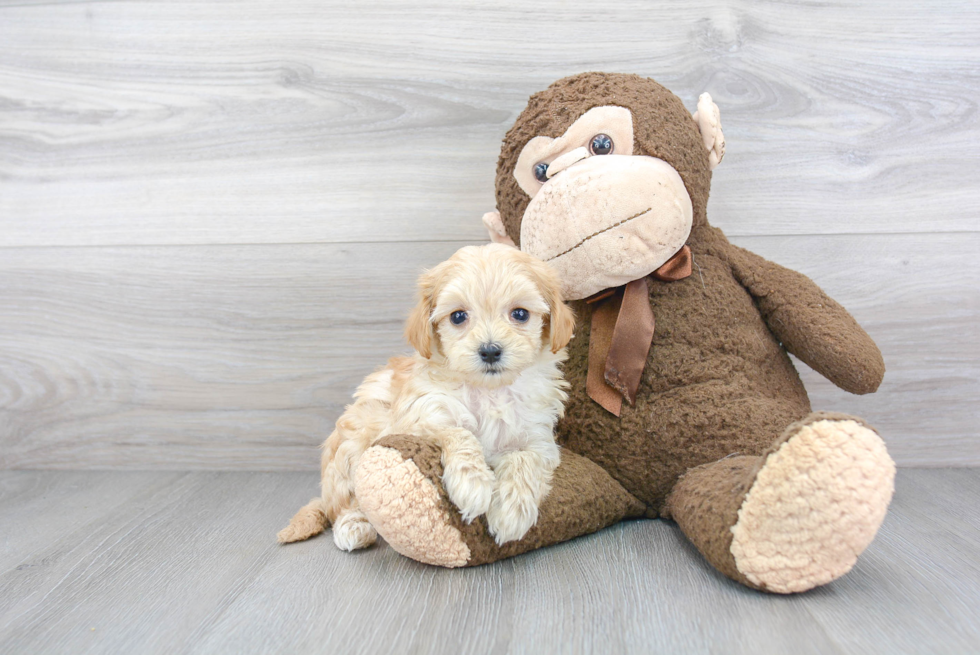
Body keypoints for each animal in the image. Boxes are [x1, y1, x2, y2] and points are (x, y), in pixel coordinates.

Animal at [278, 243, 576, 552]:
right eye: (458, 316)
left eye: (520, 314)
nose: (490, 351)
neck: (488, 391)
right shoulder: (419, 415)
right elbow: (458, 432)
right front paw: (472, 483)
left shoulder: (539, 438)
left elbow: (524, 460)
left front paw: (511, 509)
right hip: (353, 440)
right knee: (342, 503)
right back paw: (354, 526)